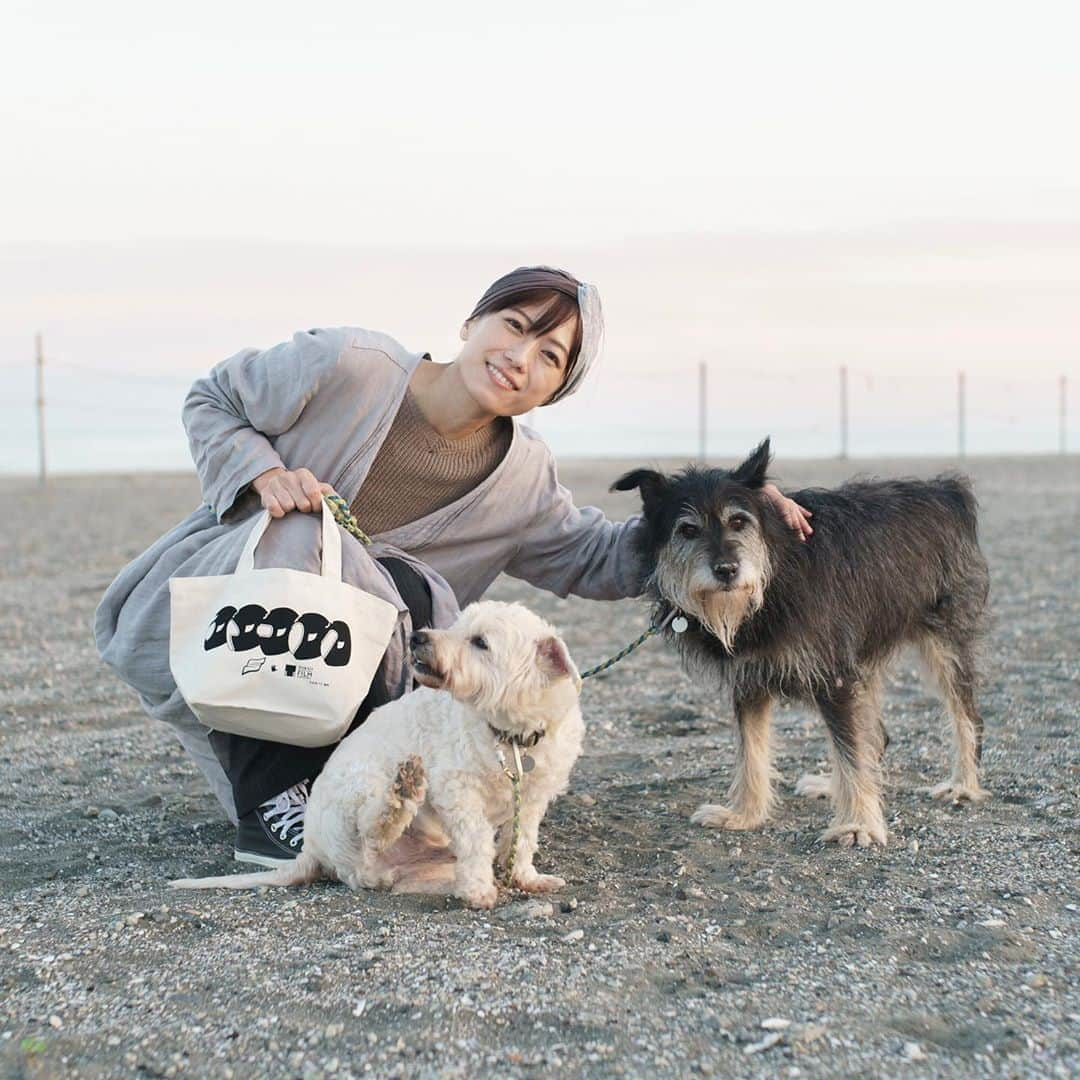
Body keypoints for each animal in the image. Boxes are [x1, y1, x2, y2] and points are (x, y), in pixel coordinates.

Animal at [170, 604, 583, 907]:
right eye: (457, 624)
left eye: (480, 642)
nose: (418, 637)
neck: (509, 734)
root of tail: (313, 847)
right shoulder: (459, 792)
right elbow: (477, 839)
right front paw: (479, 890)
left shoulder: (532, 798)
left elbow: (522, 839)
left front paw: (525, 878)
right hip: (361, 785)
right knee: (367, 851)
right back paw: (400, 799)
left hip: (429, 860)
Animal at [613, 434, 989, 846]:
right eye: (687, 530)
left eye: (739, 521)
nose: (727, 570)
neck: (770, 583)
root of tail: (945, 489)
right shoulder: (749, 680)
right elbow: (751, 751)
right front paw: (744, 814)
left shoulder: (834, 674)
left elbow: (848, 747)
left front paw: (858, 824)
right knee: (876, 733)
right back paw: (832, 784)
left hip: (945, 642)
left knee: (966, 715)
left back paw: (962, 785)